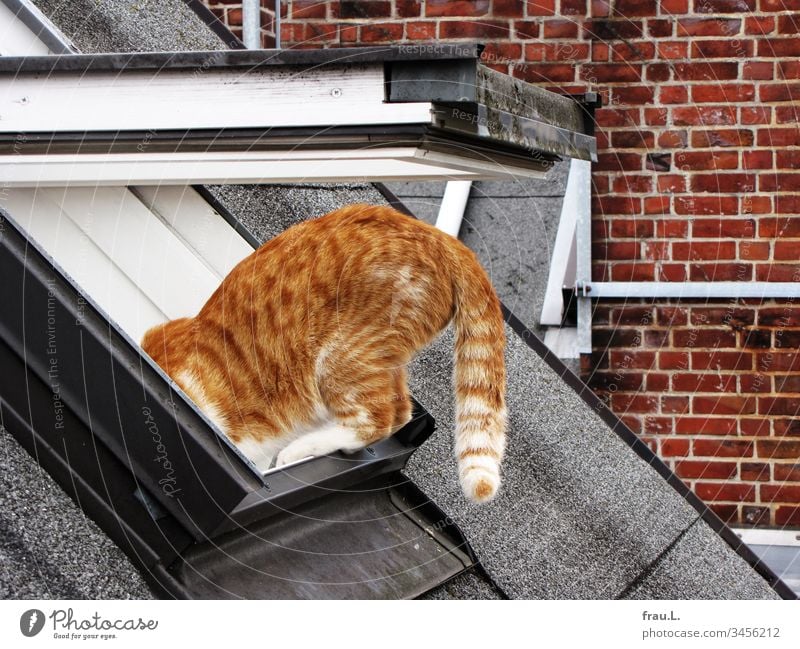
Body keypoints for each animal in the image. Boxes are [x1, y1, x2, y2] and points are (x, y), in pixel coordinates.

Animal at [142, 202, 506, 502]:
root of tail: (439, 237)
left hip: (341, 358)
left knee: (380, 417)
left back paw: (300, 450)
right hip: (380, 359)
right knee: (401, 410)